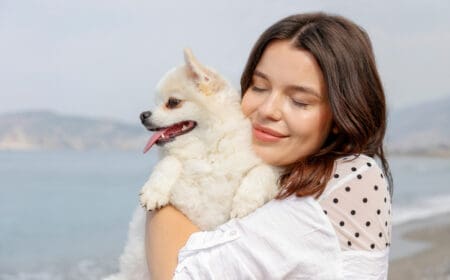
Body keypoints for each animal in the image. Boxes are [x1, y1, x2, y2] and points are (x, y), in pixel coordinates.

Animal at [105, 49, 282, 278]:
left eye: (172, 102)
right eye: (156, 102)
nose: (143, 115)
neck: (206, 151)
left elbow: (263, 170)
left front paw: (245, 201)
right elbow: (171, 161)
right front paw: (155, 190)